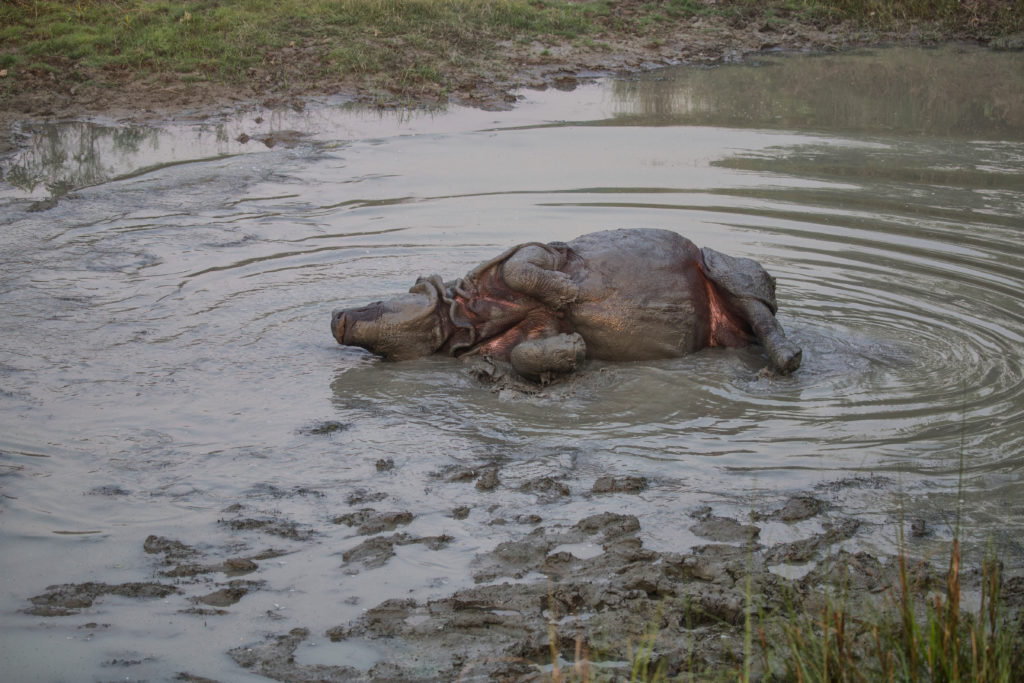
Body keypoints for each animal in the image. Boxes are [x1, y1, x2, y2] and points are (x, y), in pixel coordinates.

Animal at [331, 228, 802, 378]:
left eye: (377, 301)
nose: (335, 315)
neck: (461, 315)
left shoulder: (528, 254)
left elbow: (522, 266)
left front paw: (569, 293)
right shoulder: (509, 340)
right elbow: (523, 353)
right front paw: (574, 348)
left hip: (725, 268)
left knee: (757, 306)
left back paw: (787, 361)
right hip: (723, 329)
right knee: (744, 326)